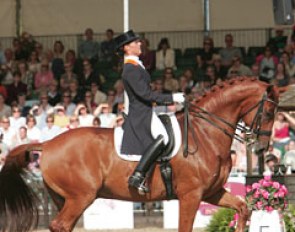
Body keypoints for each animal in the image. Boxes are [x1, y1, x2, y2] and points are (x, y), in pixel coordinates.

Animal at [0, 76, 280, 232]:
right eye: (268, 112)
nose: (261, 148)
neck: (205, 133)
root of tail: (48, 144)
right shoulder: (191, 195)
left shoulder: (211, 192)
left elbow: (243, 208)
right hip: (81, 197)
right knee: (61, 225)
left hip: (65, 199)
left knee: (62, 226)